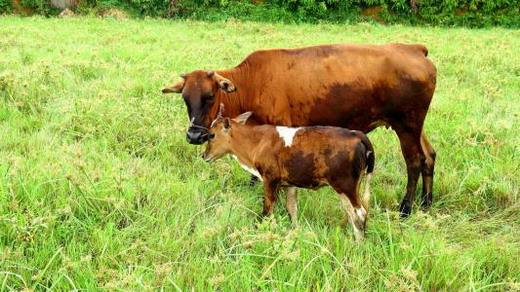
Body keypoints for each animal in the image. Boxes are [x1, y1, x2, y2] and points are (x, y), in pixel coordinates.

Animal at [164, 43, 438, 217]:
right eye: (184, 98)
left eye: (209, 96)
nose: (194, 135)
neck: (251, 83)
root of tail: (413, 48)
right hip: (417, 125)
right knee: (429, 156)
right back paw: (426, 203)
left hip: (407, 124)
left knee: (414, 161)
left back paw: (406, 208)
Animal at [202, 112, 374, 242]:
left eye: (211, 135)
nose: (204, 155)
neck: (256, 141)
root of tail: (356, 134)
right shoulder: (289, 184)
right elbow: (292, 209)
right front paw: (294, 233)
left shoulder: (270, 180)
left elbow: (267, 210)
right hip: (345, 188)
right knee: (351, 213)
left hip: (346, 185)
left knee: (360, 213)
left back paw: (359, 244)